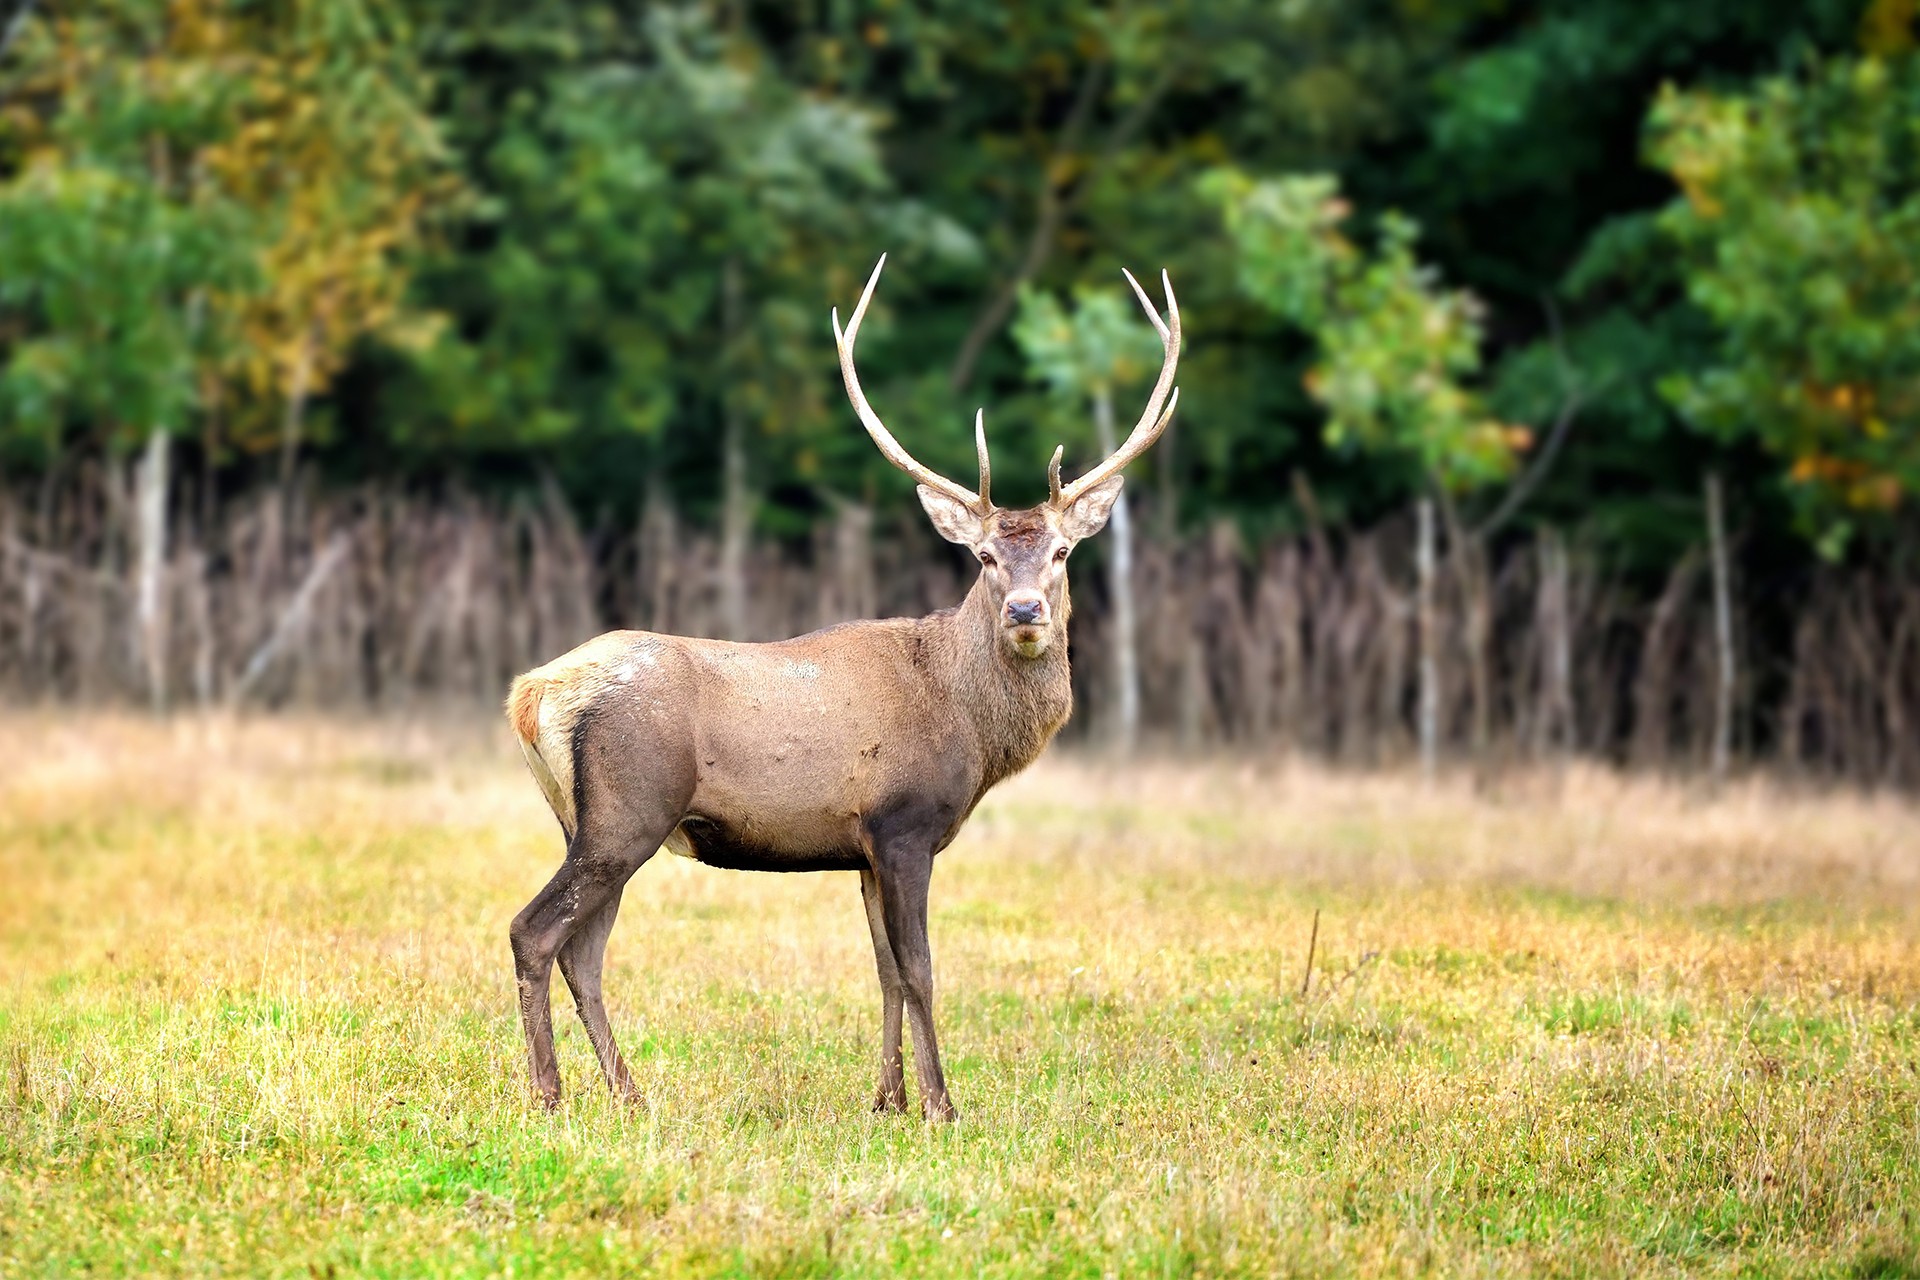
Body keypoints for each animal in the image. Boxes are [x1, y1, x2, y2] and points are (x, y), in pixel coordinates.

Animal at [503, 257, 1175, 1120]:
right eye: (985, 557)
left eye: (1060, 552)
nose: (1026, 612)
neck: (967, 726)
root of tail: (532, 692)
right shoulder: (904, 823)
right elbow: (920, 968)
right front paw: (941, 1105)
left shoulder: (862, 847)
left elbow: (884, 970)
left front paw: (886, 1098)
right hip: (629, 807)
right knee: (536, 931)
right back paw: (549, 1096)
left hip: (582, 820)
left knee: (583, 950)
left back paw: (629, 1095)